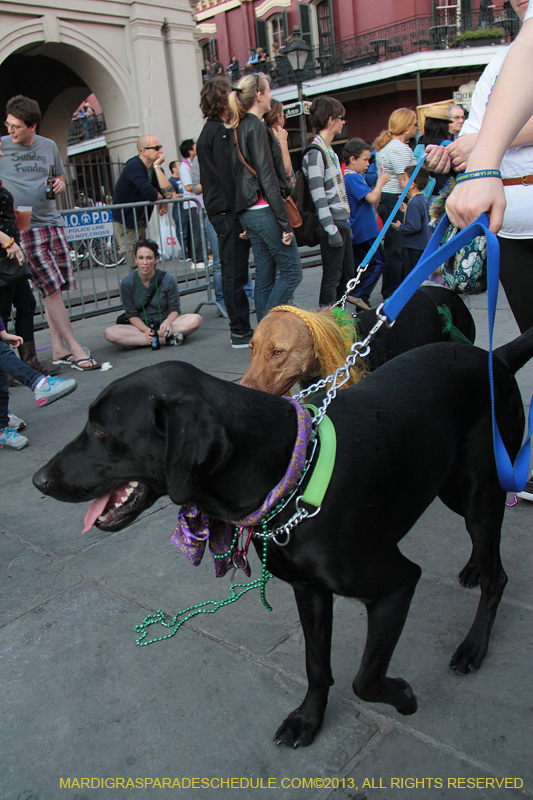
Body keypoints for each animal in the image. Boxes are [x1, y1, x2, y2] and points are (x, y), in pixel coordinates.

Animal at [33, 326, 532, 752]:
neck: (291, 474)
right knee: (486, 557)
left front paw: (404, 696)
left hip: (477, 491)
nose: (39, 480)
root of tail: (494, 356)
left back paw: (473, 646)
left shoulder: (396, 583)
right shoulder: (309, 591)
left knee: (499, 576)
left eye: (102, 430)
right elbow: (316, 666)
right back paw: (473, 568)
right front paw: (309, 720)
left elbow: (365, 679)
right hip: (452, 487)